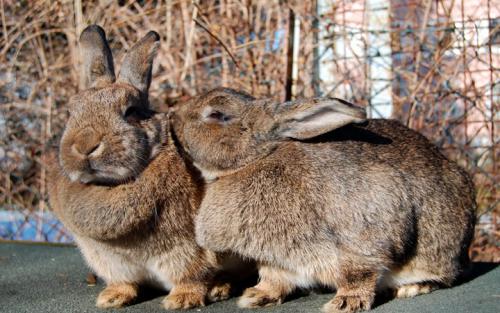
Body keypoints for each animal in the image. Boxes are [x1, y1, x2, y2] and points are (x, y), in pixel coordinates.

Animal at [45, 25, 232, 308]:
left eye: (131, 111)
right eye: (70, 112)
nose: (85, 146)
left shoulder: (187, 249)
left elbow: (193, 274)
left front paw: (182, 299)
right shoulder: (110, 260)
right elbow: (124, 281)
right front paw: (112, 298)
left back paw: (220, 288)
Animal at [171, 88, 476, 312]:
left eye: (217, 114)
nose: (174, 117)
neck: (257, 159)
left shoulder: (363, 232)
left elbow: (359, 272)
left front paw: (345, 302)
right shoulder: (276, 258)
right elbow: (273, 278)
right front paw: (256, 296)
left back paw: (411, 288)